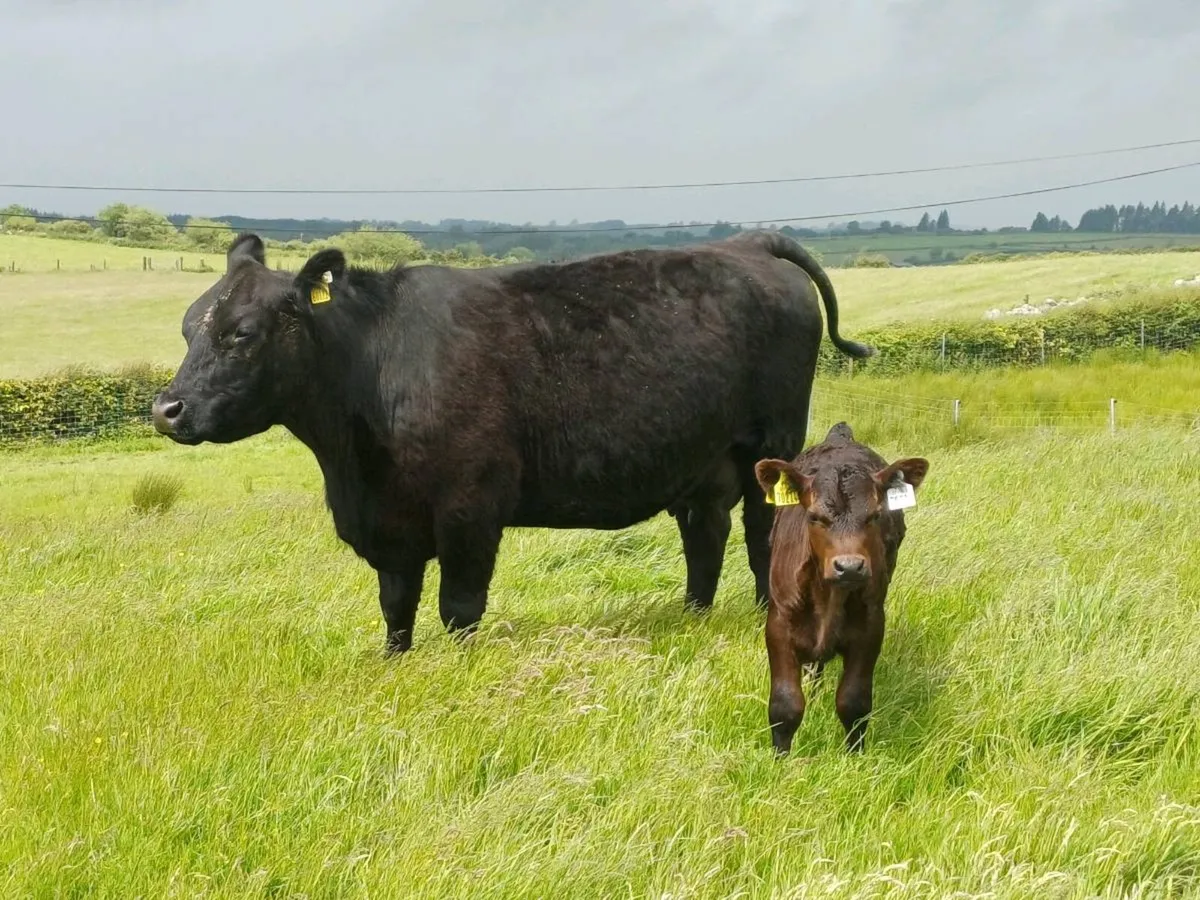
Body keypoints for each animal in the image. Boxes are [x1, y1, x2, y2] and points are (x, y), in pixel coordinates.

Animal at [150, 230, 873, 654]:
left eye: (242, 333)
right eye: (187, 327)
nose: (165, 408)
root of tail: (748, 240)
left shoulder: (471, 507)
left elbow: (458, 606)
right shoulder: (390, 524)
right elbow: (396, 605)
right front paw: (395, 661)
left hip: (769, 441)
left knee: (761, 534)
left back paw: (765, 616)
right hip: (702, 460)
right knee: (705, 534)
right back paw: (692, 615)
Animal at [753, 422, 928, 755]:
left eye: (875, 515)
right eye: (814, 517)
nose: (849, 566)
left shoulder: (871, 624)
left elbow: (854, 701)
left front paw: (854, 755)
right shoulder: (779, 622)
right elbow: (785, 705)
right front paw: (780, 758)